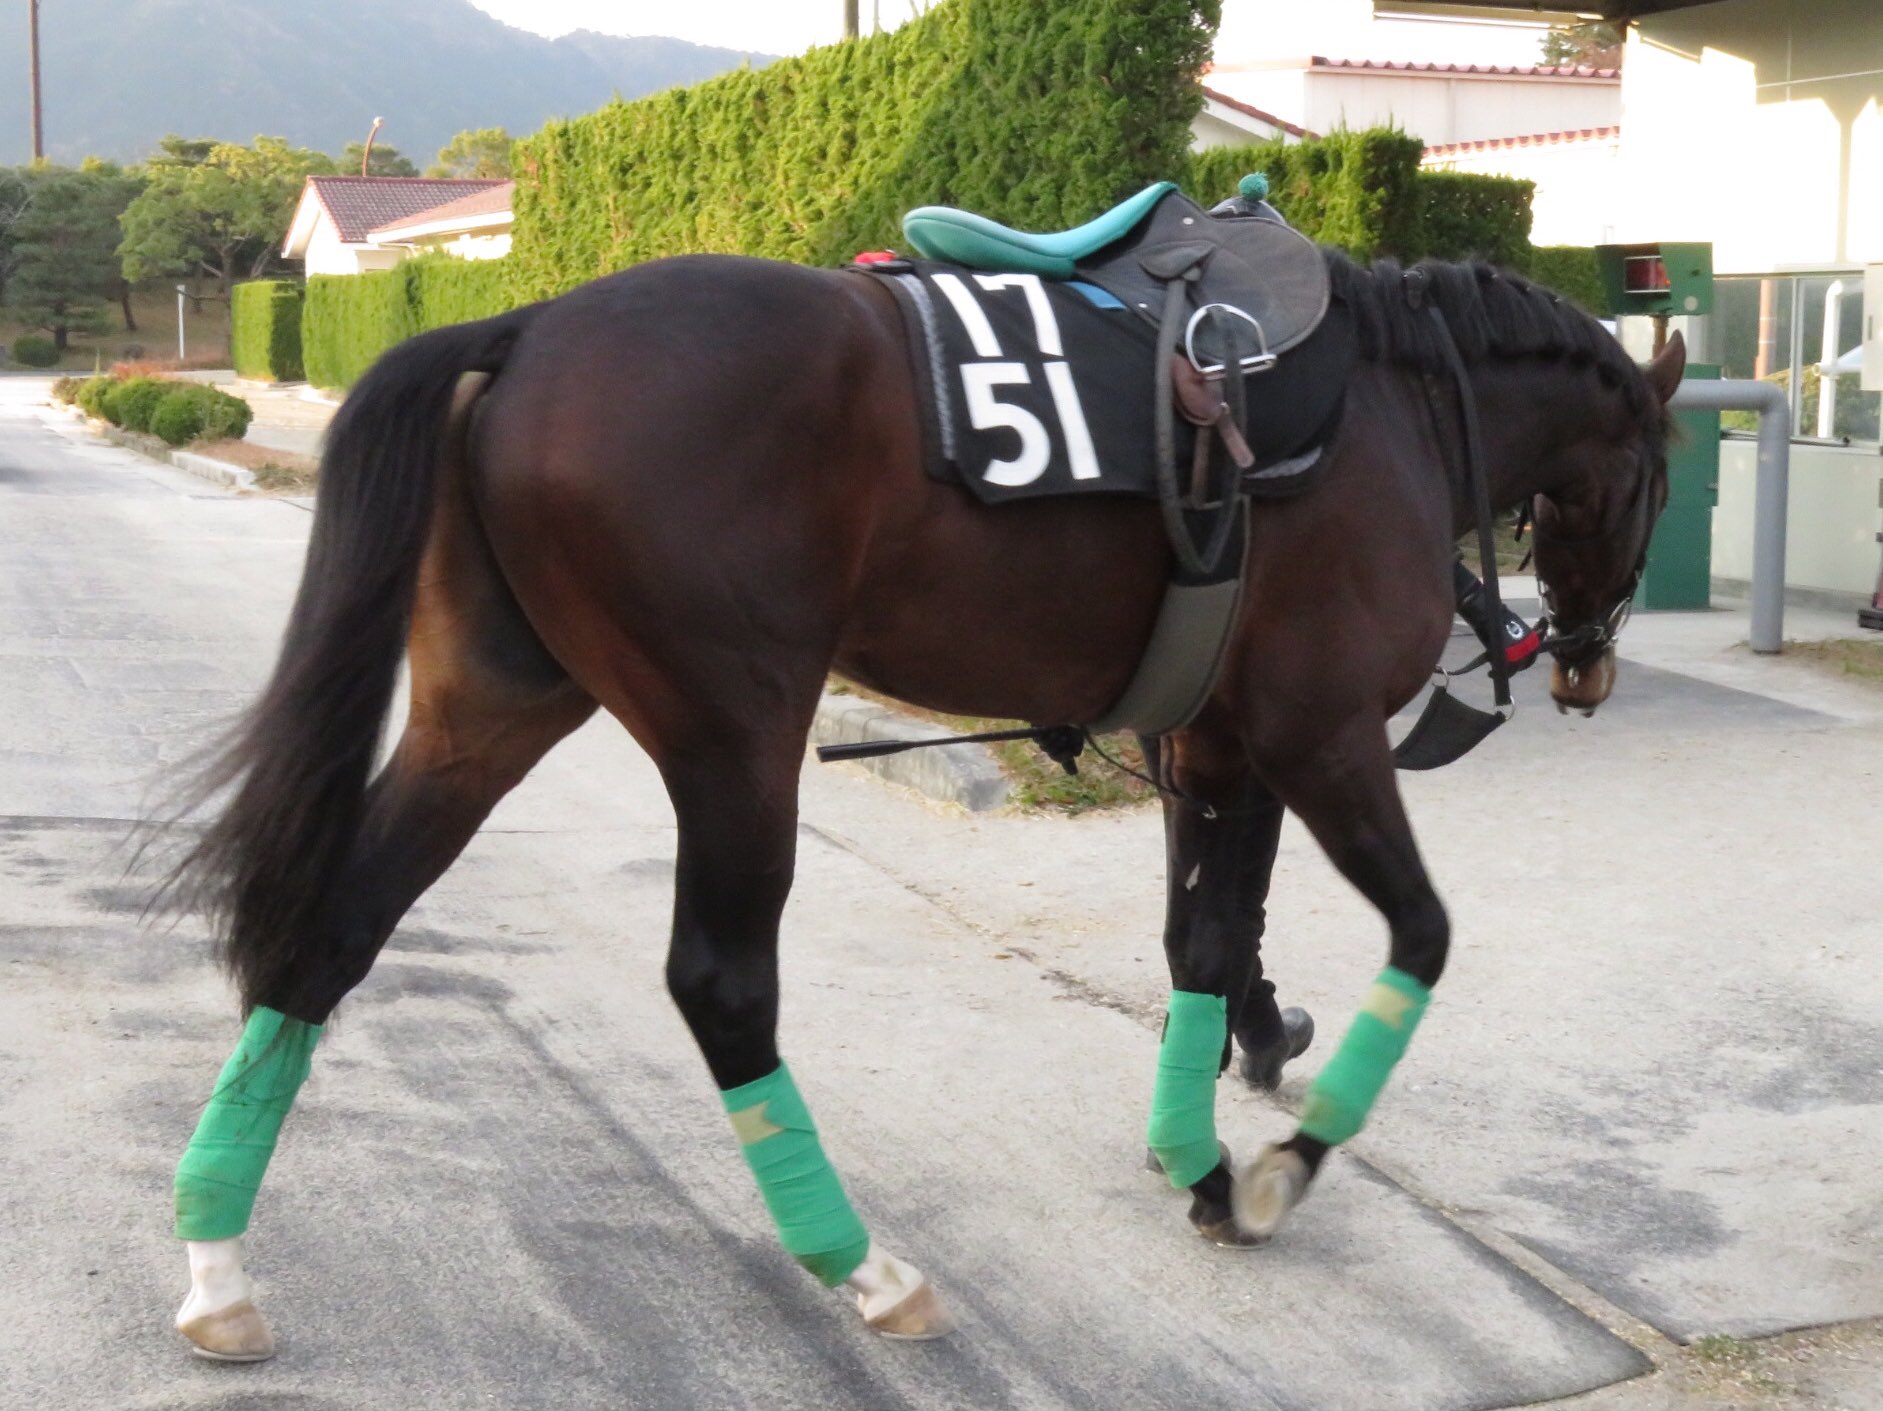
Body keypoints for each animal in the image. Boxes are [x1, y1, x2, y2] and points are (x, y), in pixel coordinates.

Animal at [161, 242, 1680, 1360]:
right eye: (1658, 483)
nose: (1587, 660)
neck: (1381, 401)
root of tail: (529, 329)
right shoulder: (1319, 740)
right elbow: (1418, 935)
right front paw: (1275, 1165)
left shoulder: (1218, 746)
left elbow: (1202, 947)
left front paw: (1193, 1155)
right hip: (734, 730)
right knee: (721, 982)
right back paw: (858, 1260)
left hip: (494, 707)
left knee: (334, 928)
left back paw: (217, 1256)